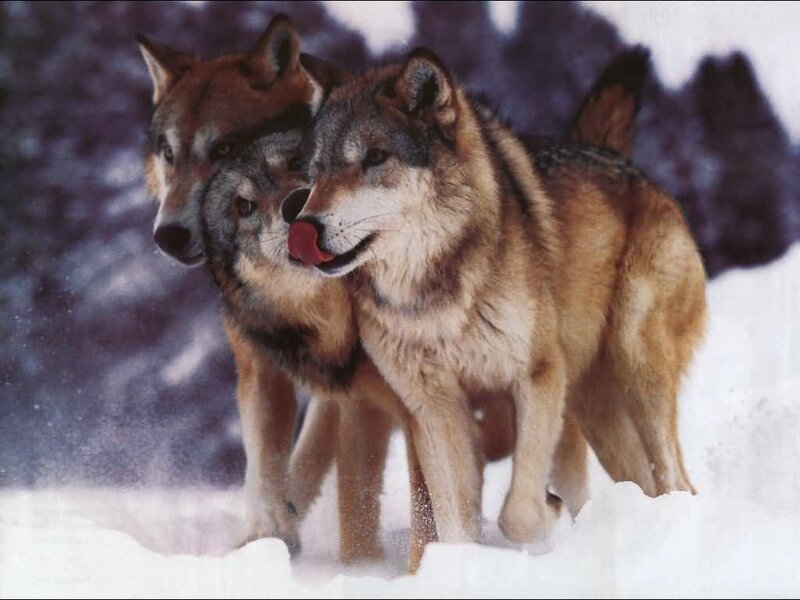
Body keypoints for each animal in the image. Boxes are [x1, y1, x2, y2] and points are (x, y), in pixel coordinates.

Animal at [285, 47, 706, 546]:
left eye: (375, 158)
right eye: (317, 172)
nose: (303, 226)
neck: (433, 295)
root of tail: (634, 170)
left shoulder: (537, 376)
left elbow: (517, 514)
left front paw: (546, 512)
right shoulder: (433, 407)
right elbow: (452, 523)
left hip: (635, 364)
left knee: (677, 479)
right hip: (593, 407)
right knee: (645, 481)